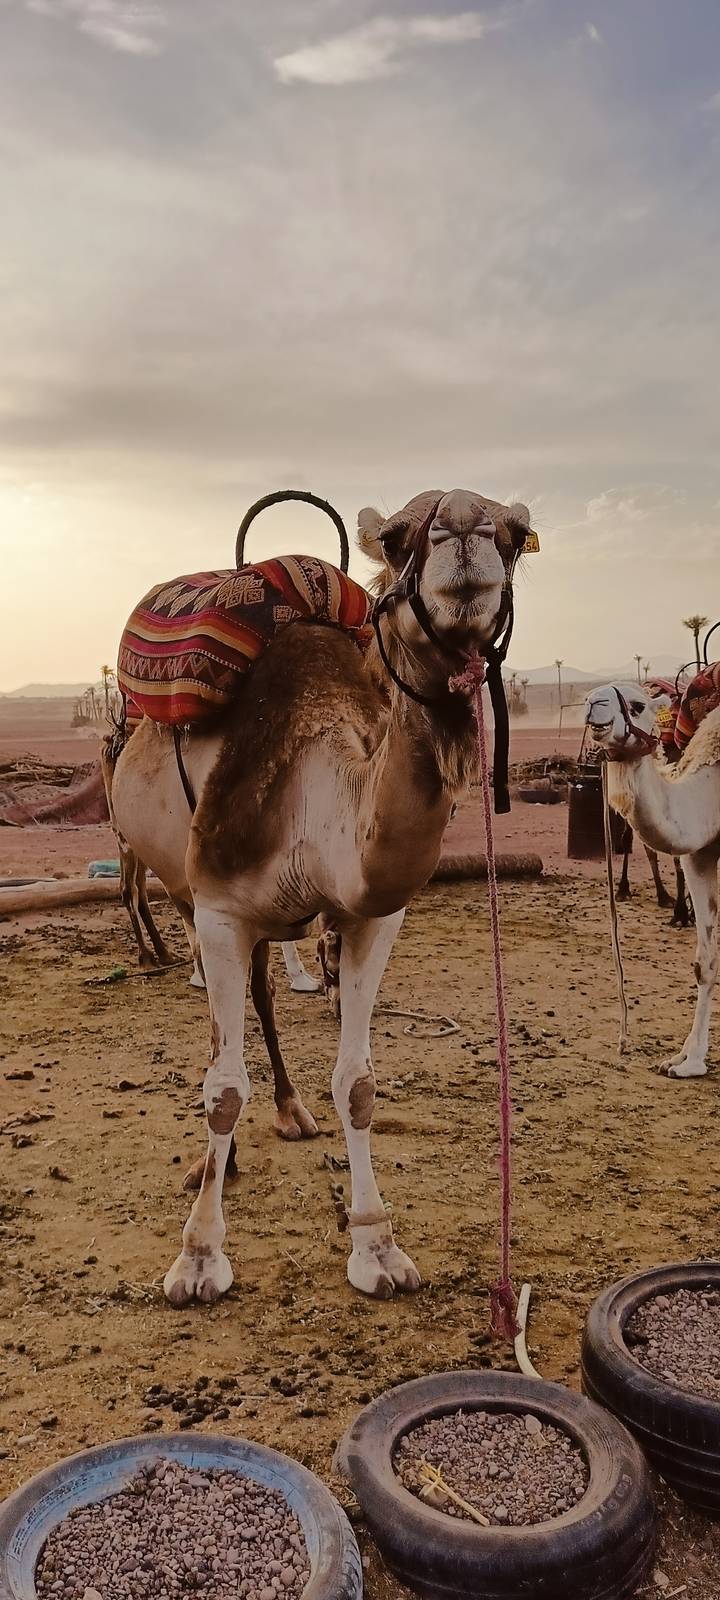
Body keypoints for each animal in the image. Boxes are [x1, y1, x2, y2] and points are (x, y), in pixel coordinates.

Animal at [110, 487, 532, 1304]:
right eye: (398, 536)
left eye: (516, 532)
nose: (464, 521)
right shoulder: (219, 906)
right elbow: (222, 1088)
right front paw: (198, 1260)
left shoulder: (372, 917)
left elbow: (360, 1082)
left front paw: (378, 1249)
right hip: (180, 887)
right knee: (221, 1019)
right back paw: (216, 1159)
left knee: (261, 994)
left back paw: (288, 1110)